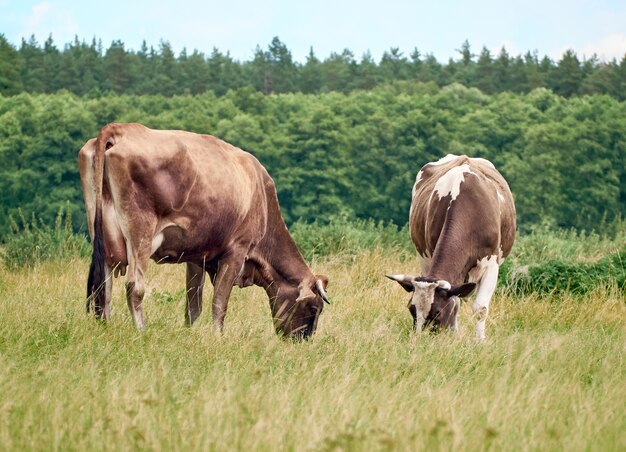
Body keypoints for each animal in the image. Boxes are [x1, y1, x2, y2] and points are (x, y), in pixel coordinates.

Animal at [79, 122, 326, 340]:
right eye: (314, 308)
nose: (303, 340)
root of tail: (121, 128)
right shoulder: (236, 251)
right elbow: (219, 303)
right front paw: (218, 338)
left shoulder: (197, 257)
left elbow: (193, 305)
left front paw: (189, 334)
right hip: (141, 232)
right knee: (134, 287)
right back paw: (141, 332)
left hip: (101, 232)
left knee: (103, 287)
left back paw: (105, 328)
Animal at [388, 154, 516, 340]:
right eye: (412, 310)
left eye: (437, 313)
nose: (419, 340)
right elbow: (455, 302)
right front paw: (453, 335)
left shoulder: (492, 264)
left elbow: (480, 309)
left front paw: (480, 341)